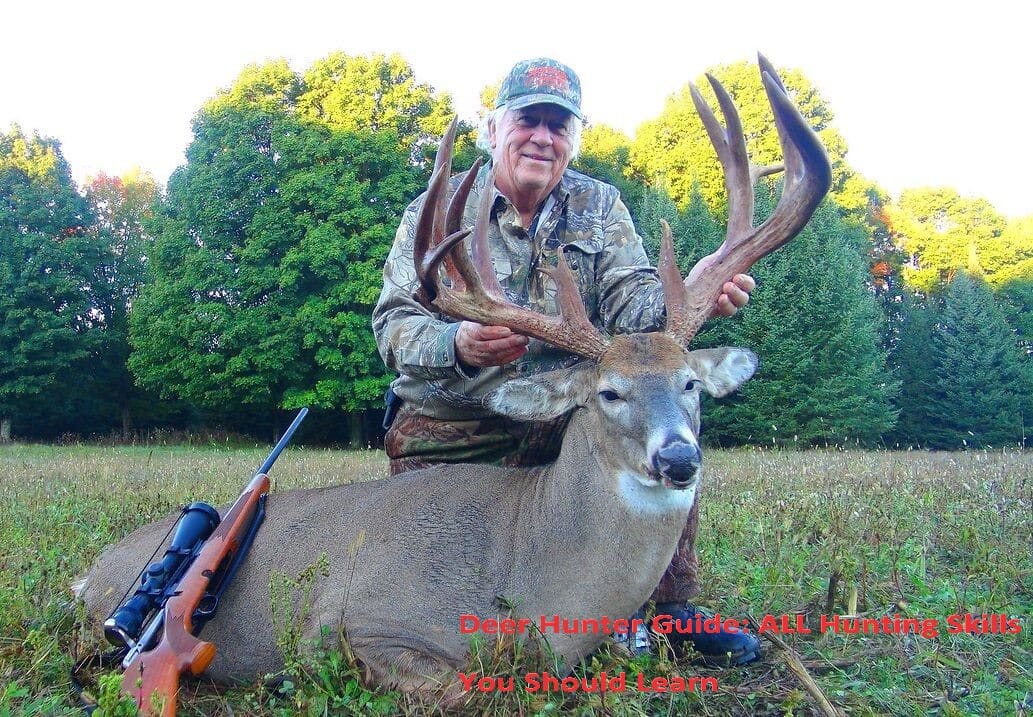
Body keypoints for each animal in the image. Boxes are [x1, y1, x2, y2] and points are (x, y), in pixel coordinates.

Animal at [76, 55, 831, 701]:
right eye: (607, 393)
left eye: (690, 385)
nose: (678, 457)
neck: (530, 578)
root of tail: (87, 573)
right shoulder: (348, 624)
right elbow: (464, 685)